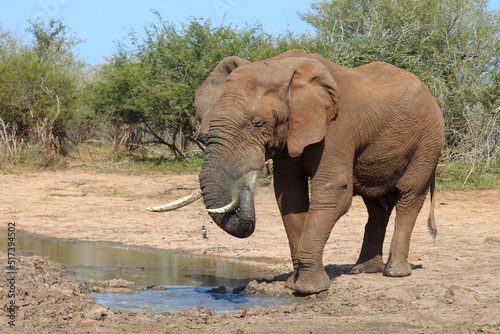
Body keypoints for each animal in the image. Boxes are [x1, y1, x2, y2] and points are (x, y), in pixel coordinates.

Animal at [147, 49, 446, 294]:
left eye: (257, 123)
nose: (245, 184)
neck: (286, 71)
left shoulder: (338, 125)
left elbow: (333, 191)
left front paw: (309, 289)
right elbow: (289, 196)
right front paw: (294, 284)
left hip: (429, 139)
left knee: (409, 194)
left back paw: (394, 273)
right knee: (376, 205)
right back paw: (363, 270)